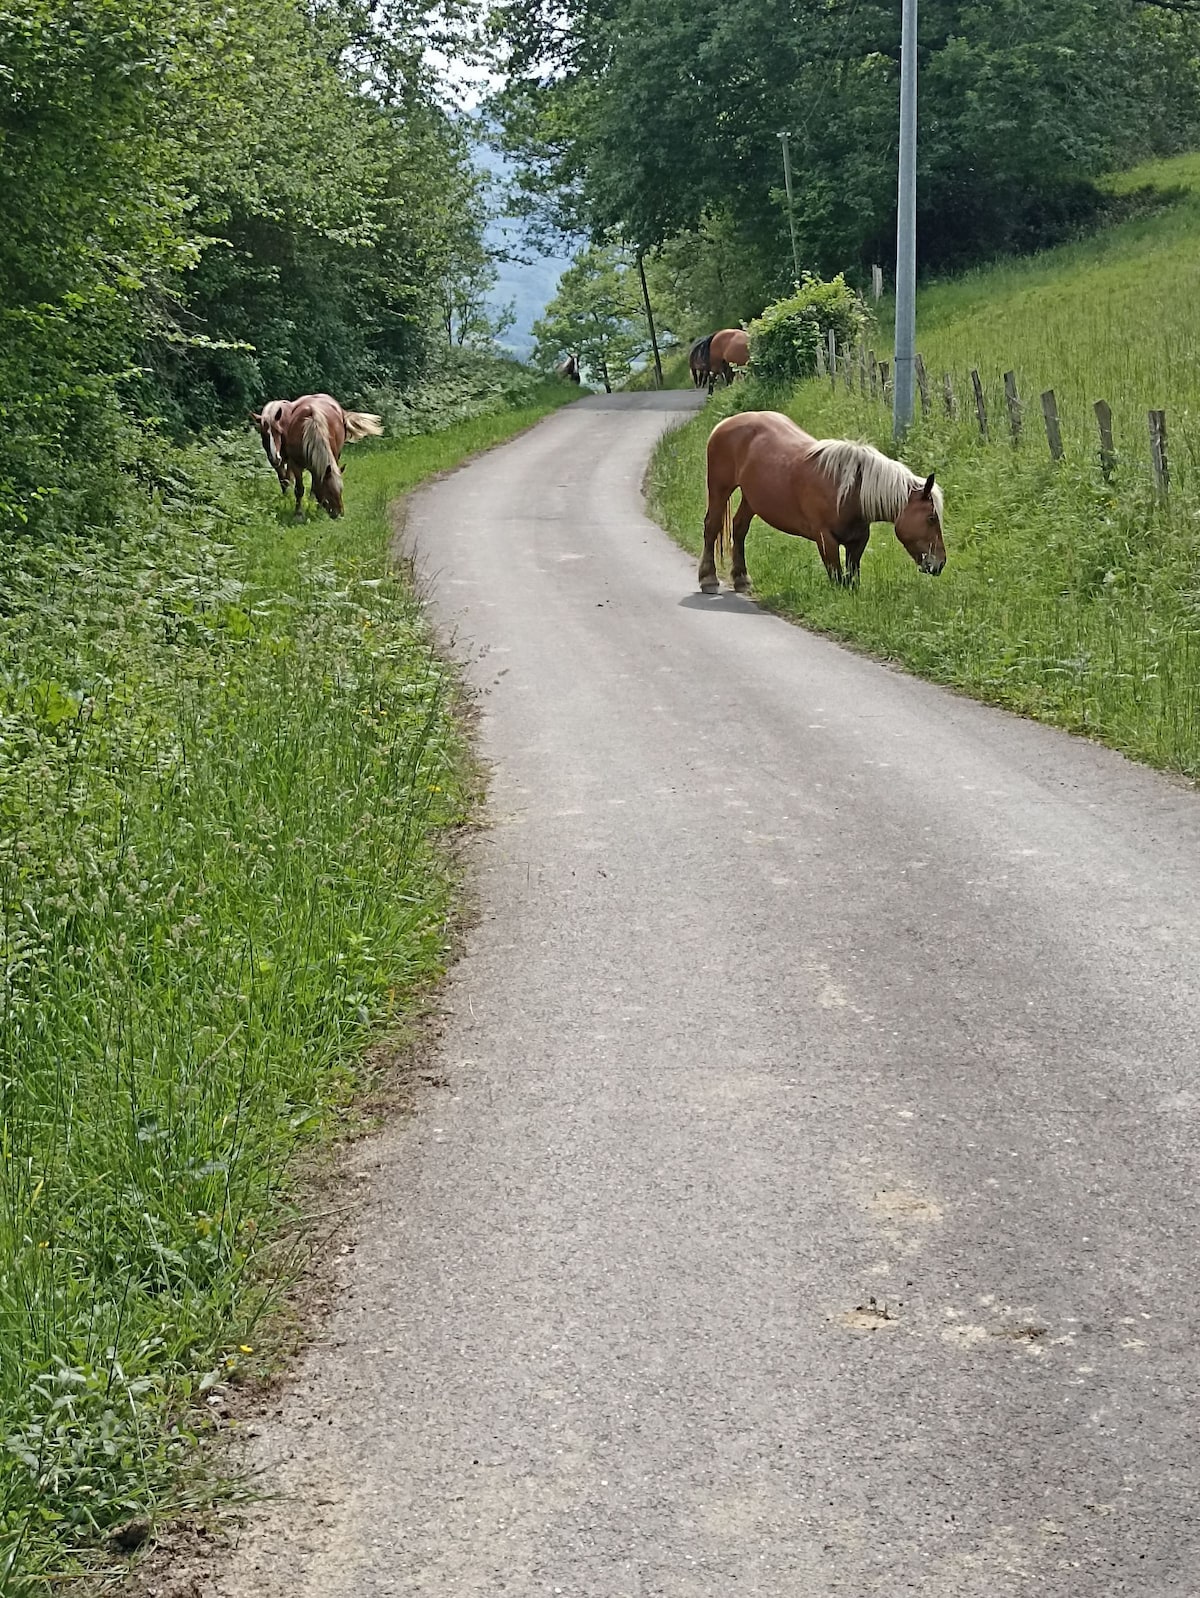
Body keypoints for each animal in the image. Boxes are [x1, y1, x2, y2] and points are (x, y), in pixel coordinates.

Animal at [693, 409, 945, 591]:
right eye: (931, 518)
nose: (940, 563)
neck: (849, 490)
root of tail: (725, 424)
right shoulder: (826, 540)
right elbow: (837, 579)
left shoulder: (858, 542)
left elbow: (852, 579)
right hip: (719, 489)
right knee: (712, 526)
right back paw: (708, 578)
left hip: (751, 498)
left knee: (739, 528)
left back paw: (741, 578)